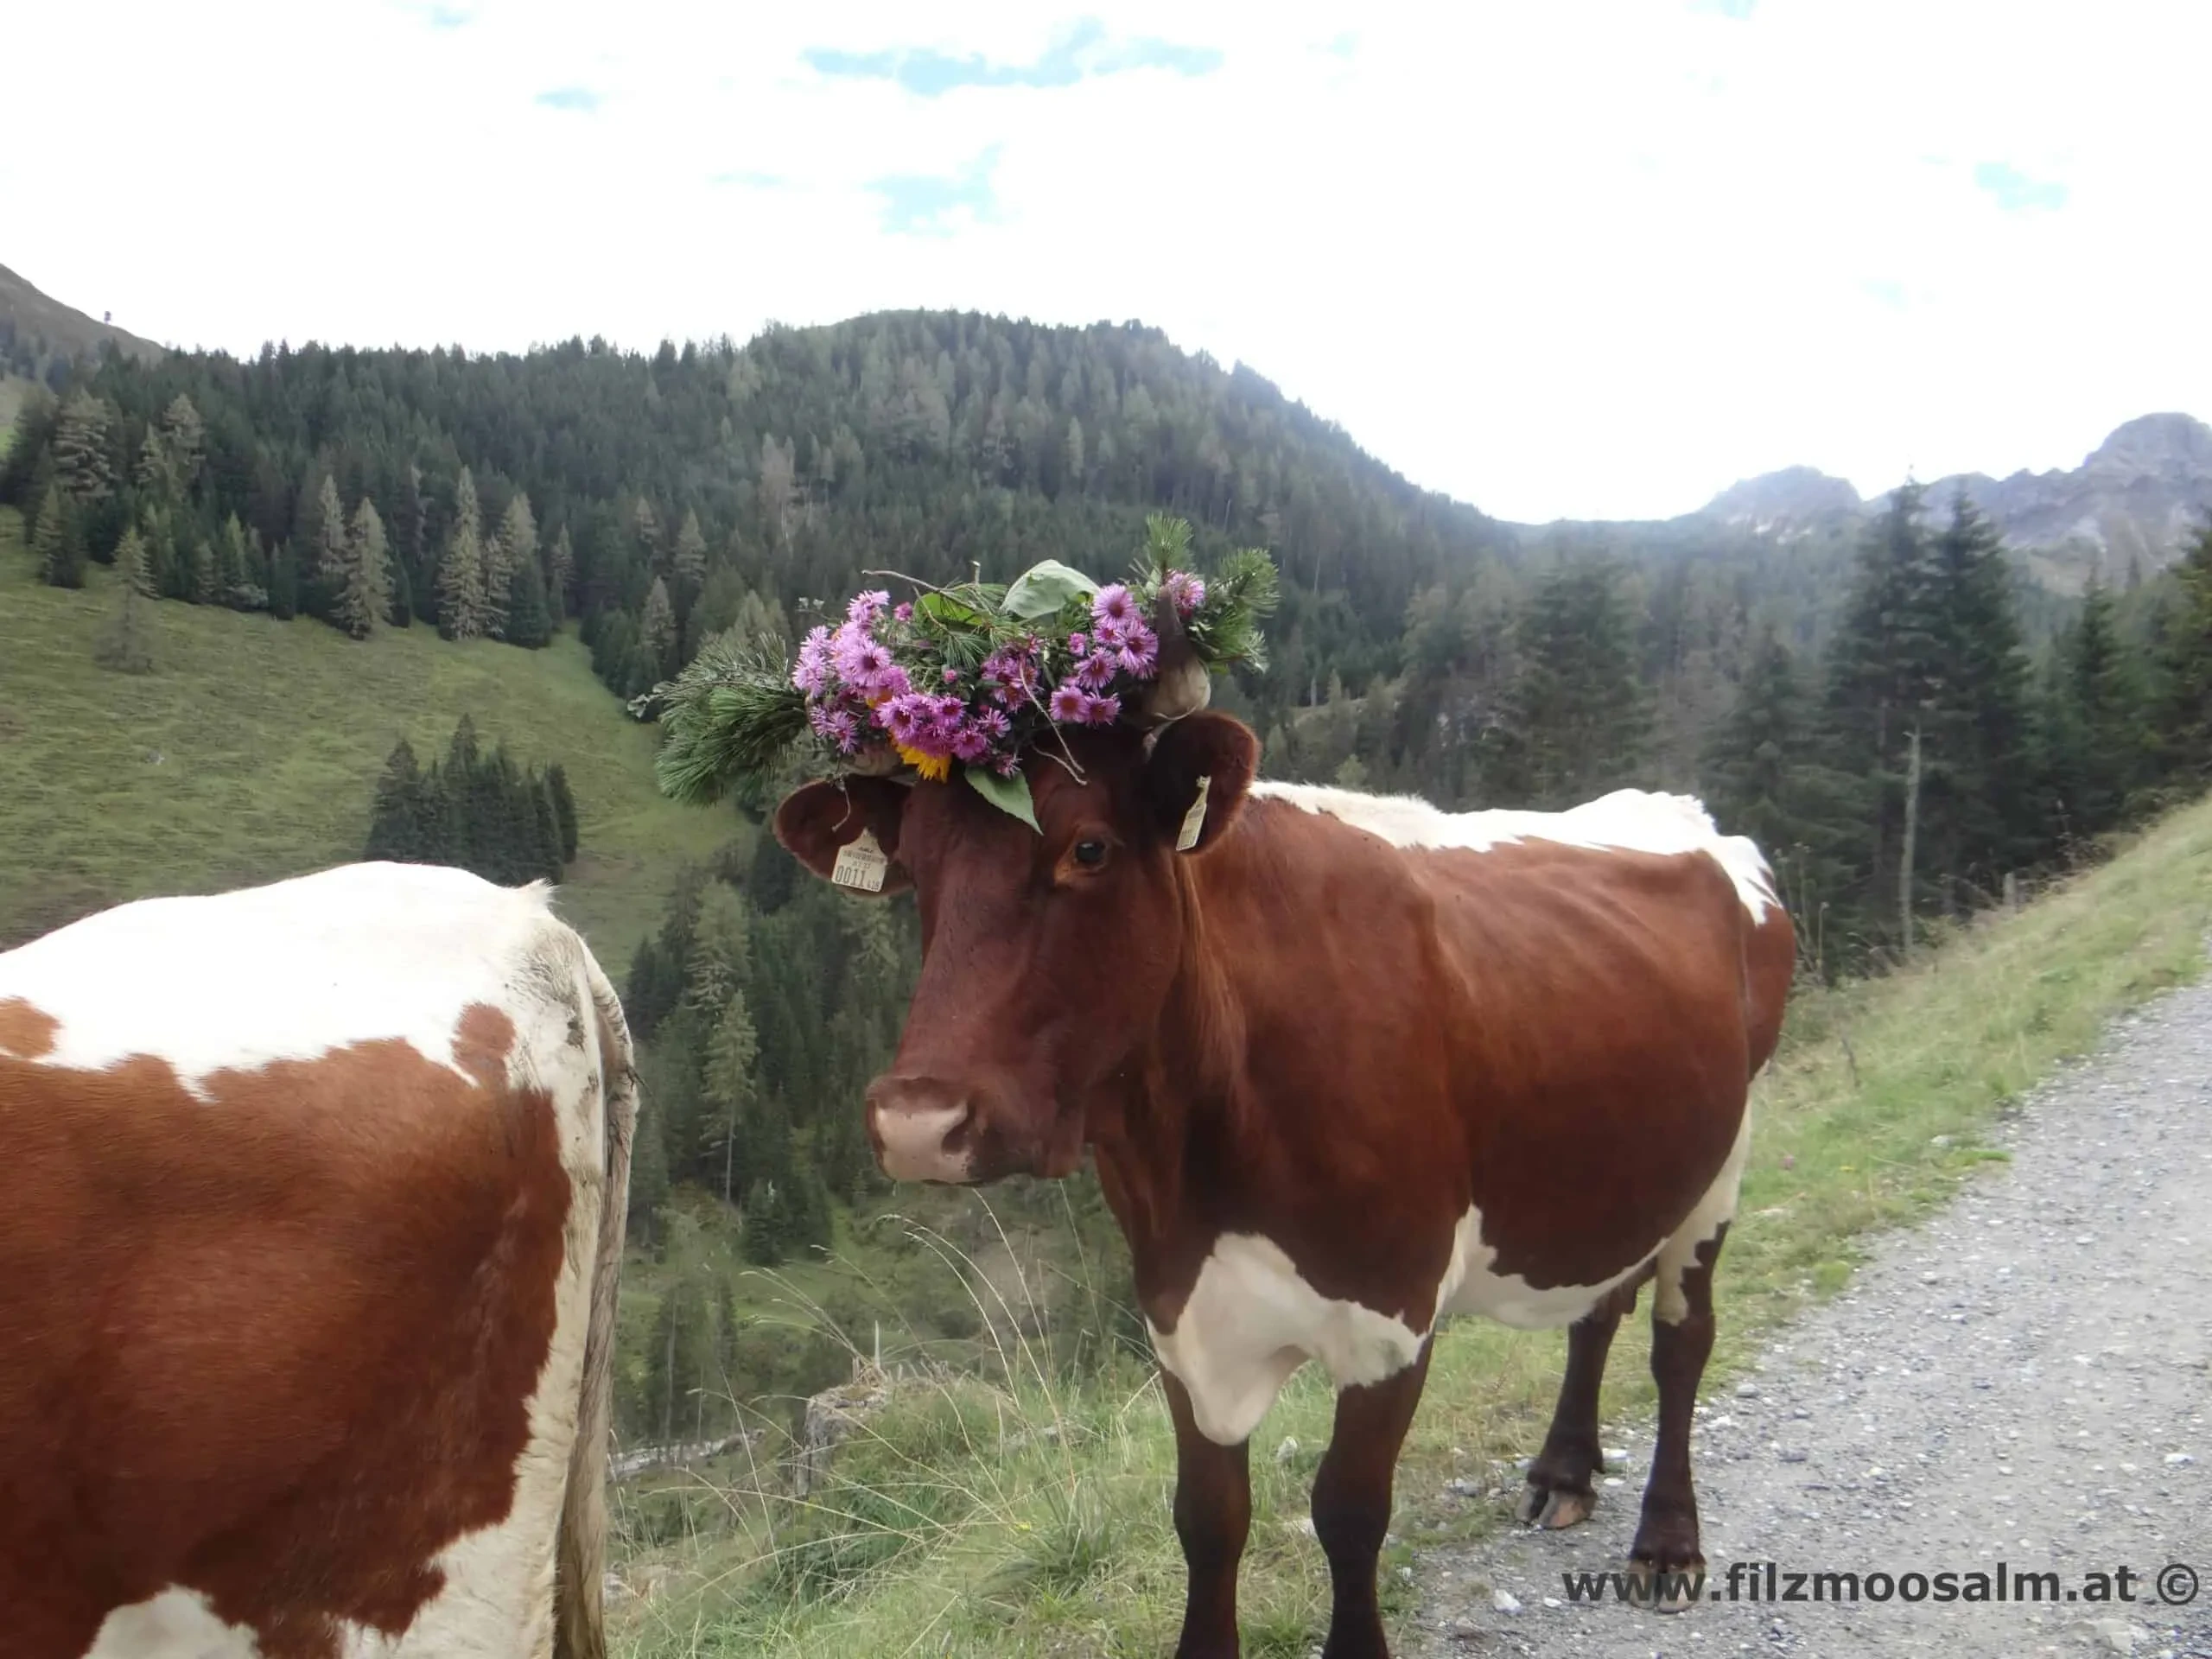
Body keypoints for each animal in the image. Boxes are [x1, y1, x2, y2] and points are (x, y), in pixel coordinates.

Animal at [654, 518, 1796, 1654]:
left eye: (1088, 847)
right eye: (919, 874)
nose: (917, 1123)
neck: (1200, 1158)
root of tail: (1678, 812)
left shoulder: (1392, 1314)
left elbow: (1348, 1511)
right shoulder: (1179, 1313)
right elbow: (1207, 1518)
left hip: (1722, 1163)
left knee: (1681, 1338)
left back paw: (1667, 1541)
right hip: (1615, 1163)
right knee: (1599, 1301)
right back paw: (1563, 1472)